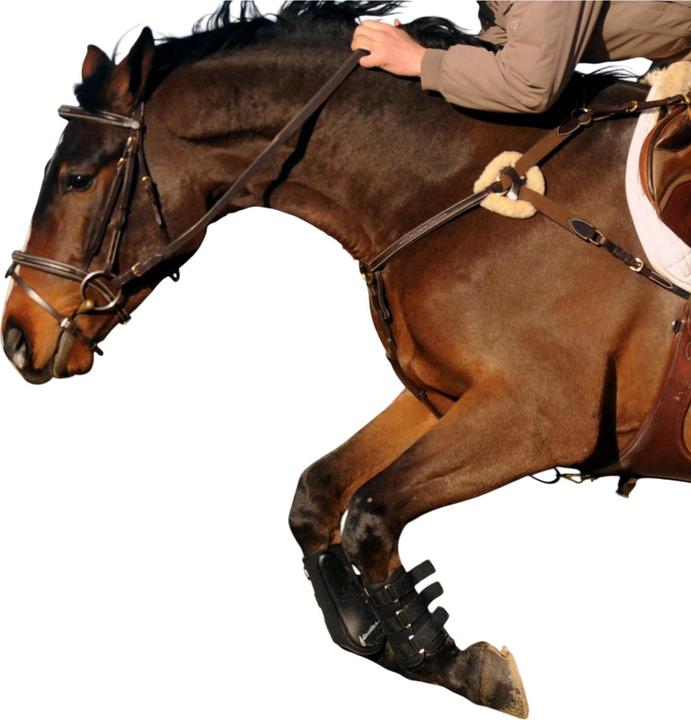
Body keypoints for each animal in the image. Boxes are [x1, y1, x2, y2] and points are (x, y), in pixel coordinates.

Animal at [1, 2, 685, 717]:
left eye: (78, 179)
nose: (18, 336)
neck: (447, 189)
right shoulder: (447, 396)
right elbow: (318, 495)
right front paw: (375, 634)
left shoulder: (540, 416)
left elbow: (372, 516)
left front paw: (465, 666)